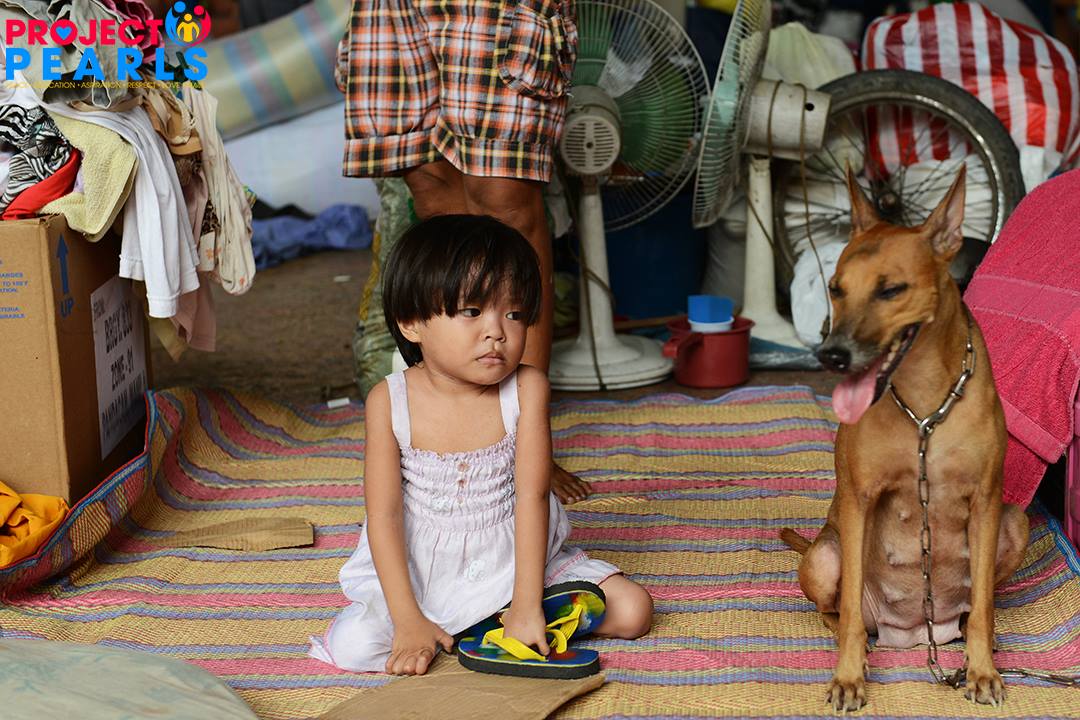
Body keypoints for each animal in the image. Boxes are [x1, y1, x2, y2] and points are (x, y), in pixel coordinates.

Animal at [781, 167, 1029, 711]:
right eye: (835, 289)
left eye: (891, 290)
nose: (830, 355)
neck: (924, 404)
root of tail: (916, 633)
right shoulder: (859, 499)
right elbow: (852, 616)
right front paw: (849, 676)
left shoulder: (986, 500)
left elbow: (983, 607)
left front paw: (982, 670)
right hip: (823, 557)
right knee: (838, 611)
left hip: (1015, 522)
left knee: (976, 608)